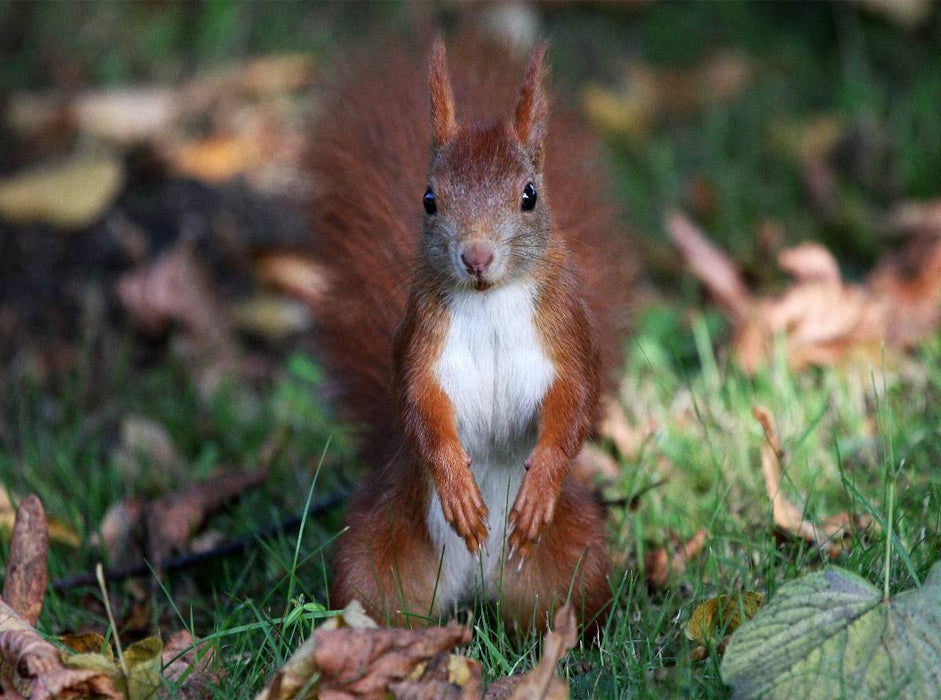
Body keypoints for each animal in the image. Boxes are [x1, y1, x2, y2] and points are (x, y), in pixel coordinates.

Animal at [307, 33, 633, 632]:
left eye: (530, 195)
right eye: (429, 199)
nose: (476, 256)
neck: (489, 302)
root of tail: (474, 585)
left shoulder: (565, 336)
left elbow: (575, 402)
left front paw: (540, 483)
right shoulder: (423, 341)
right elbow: (421, 406)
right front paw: (457, 487)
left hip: (575, 561)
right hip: (376, 559)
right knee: (370, 600)